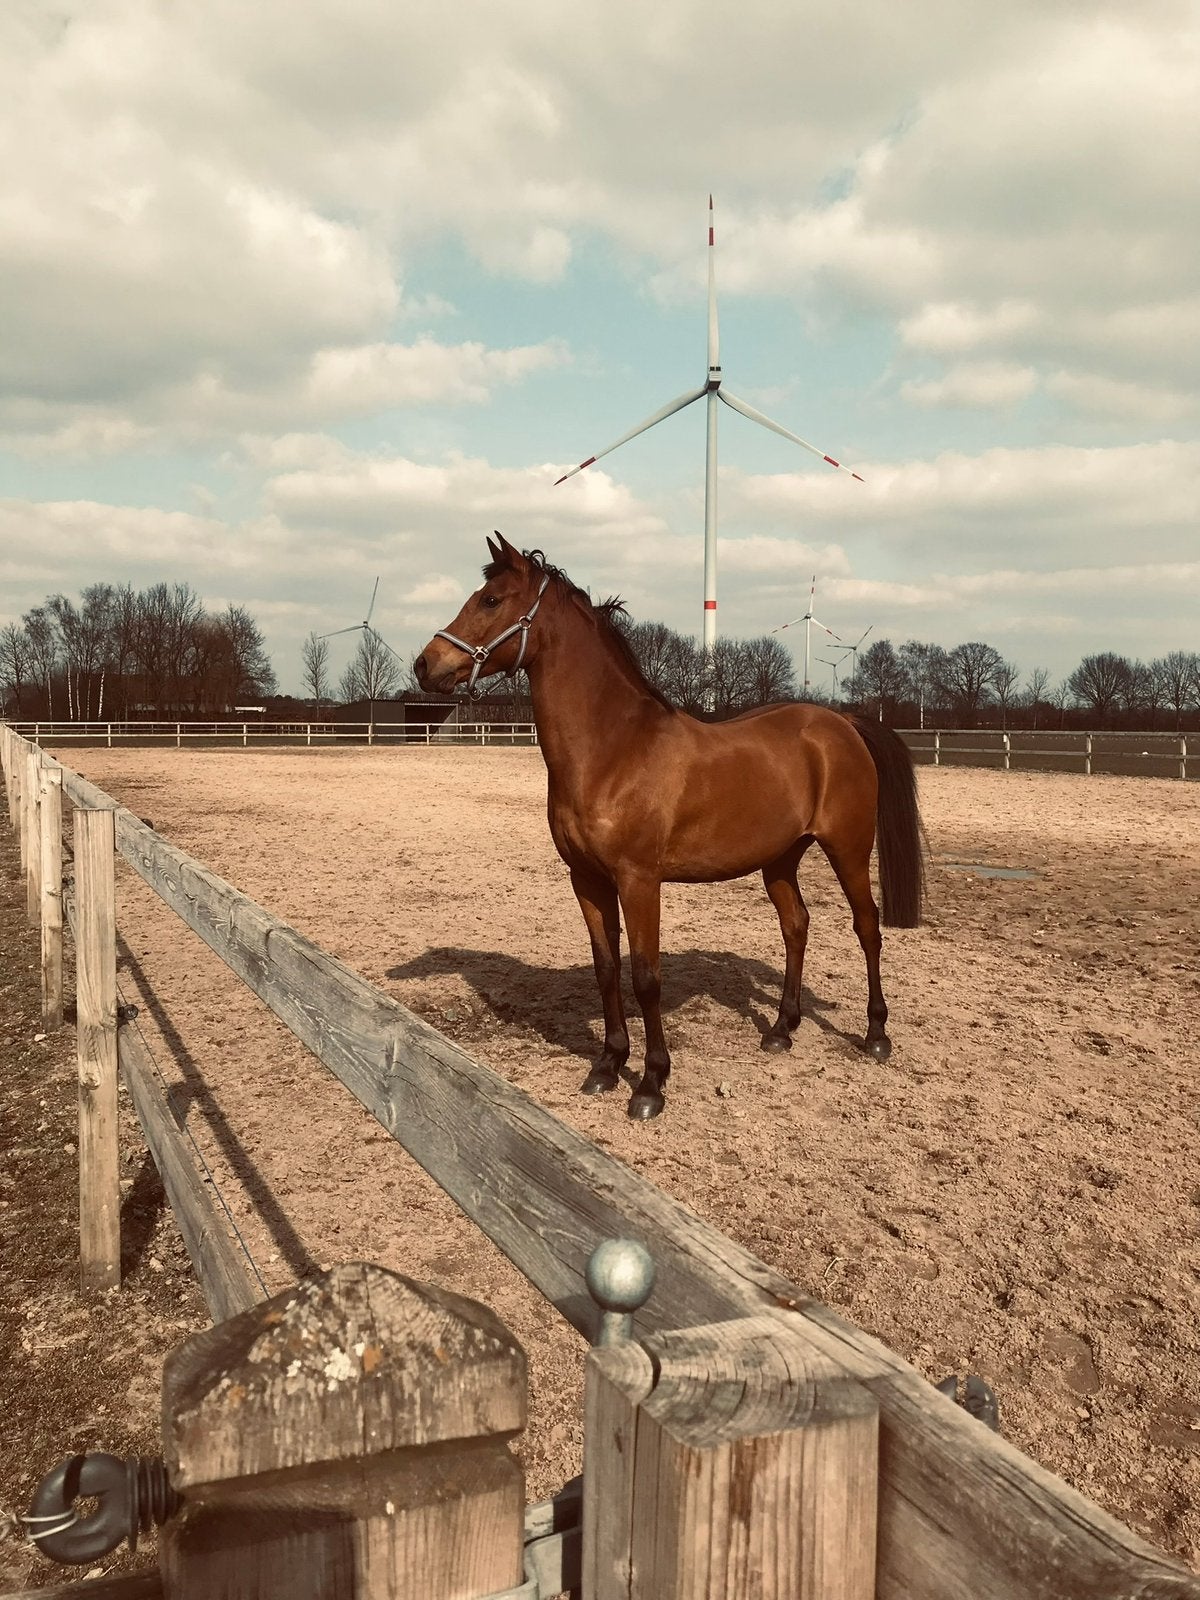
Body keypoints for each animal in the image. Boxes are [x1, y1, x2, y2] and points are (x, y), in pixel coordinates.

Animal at [415, 532, 926, 1120]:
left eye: (491, 600)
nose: (424, 665)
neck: (613, 750)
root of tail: (840, 723)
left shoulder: (639, 881)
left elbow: (646, 977)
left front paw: (651, 1083)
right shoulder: (587, 880)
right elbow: (607, 970)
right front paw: (606, 1066)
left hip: (848, 849)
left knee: (868, 928)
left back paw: (876, 1035)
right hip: (780, 858)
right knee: (796, 926)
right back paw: (780, 1029)